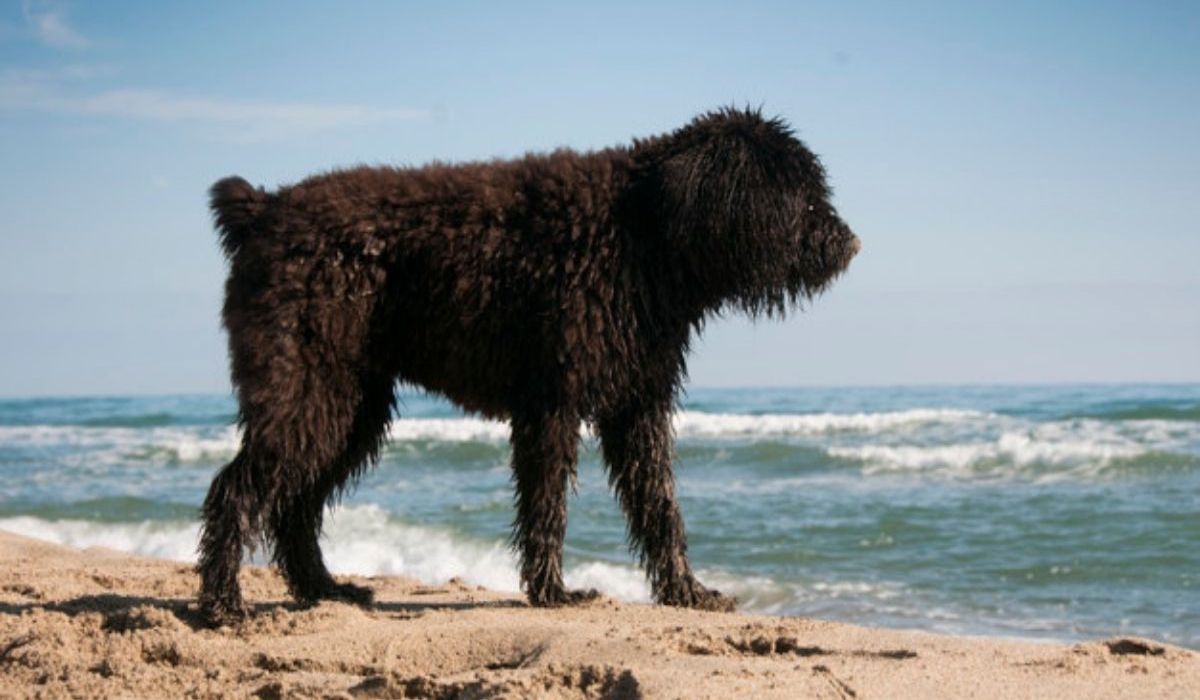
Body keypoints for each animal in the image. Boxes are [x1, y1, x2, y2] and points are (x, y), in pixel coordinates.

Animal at [196, 108, 859, 624]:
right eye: (798, 194)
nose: (849, 243)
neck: (643, 232)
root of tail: (263, 210)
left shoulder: (637, 407)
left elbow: (660, 509)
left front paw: (686, 592)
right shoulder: (552, 404)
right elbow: (548, 507)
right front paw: (553, 594)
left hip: (349, 407)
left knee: (294, 506)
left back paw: (324, 590)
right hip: (306, 392)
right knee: (237, 491)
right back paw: (226, 605)